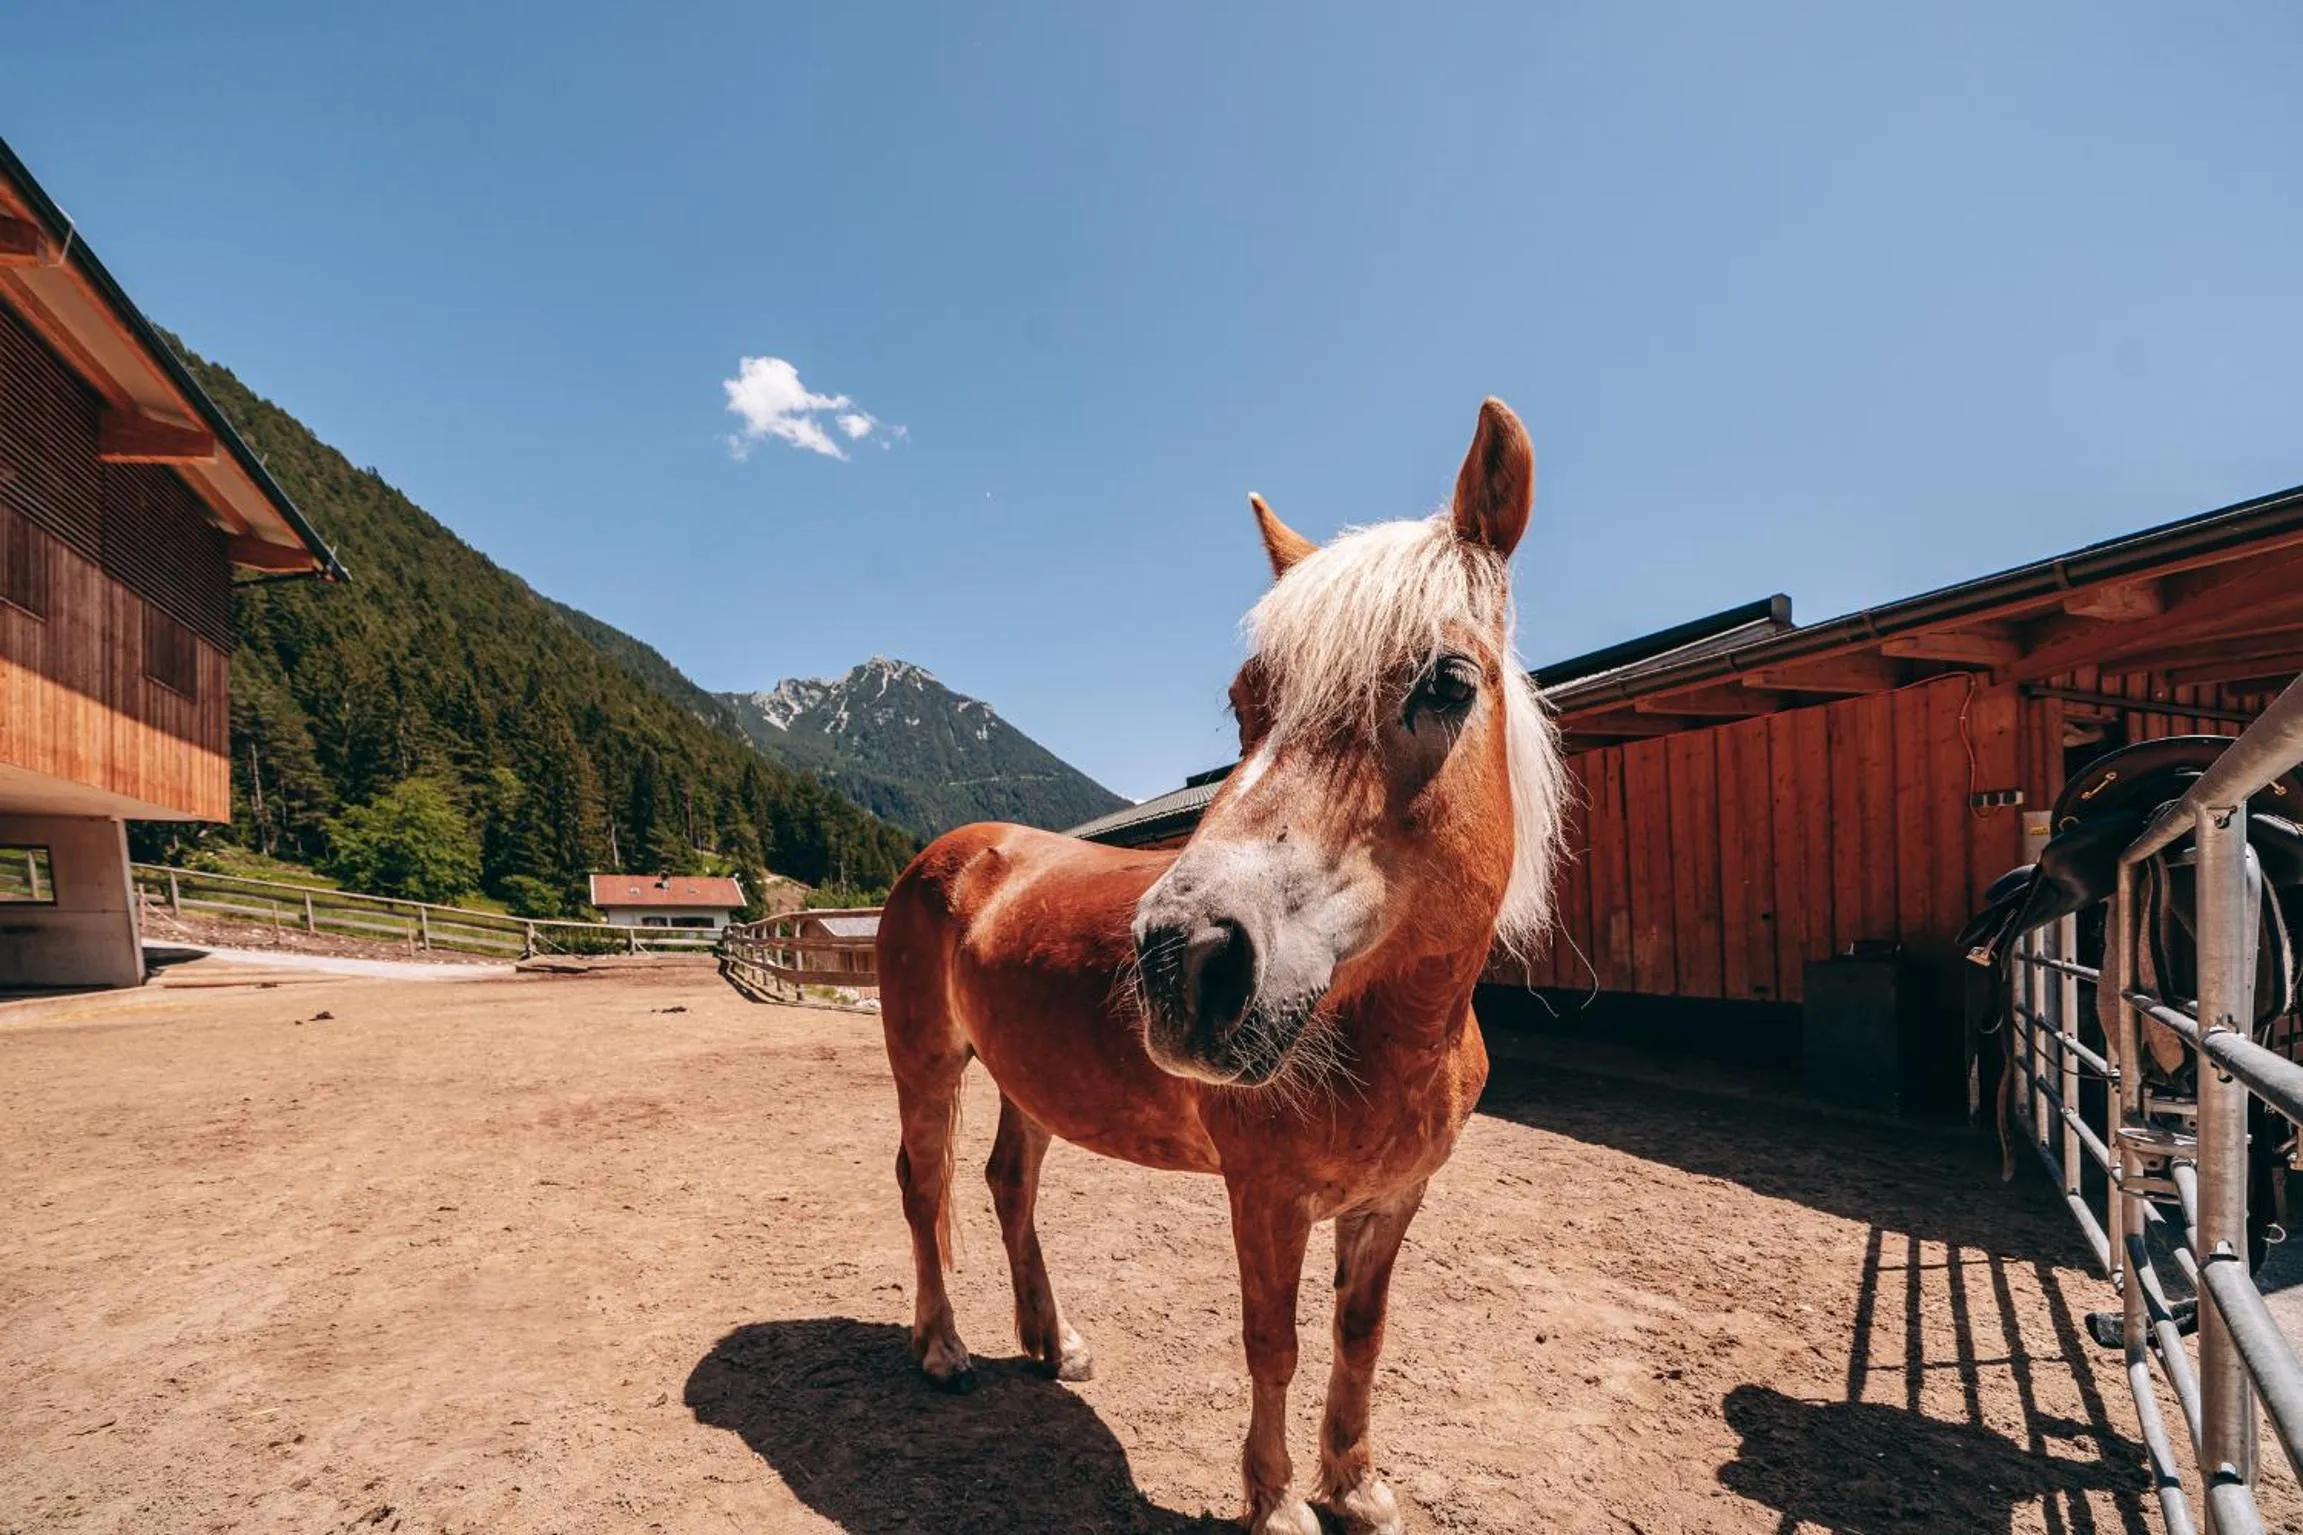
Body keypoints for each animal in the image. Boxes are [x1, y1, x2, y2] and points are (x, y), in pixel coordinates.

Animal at [875, 398, 1566, 1535]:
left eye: (1447, 682)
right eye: (1247, 700)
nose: (1181, 956)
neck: (1392, 1043)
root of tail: (958, 849)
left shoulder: (1393, 1202)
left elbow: (1360, 1337)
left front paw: (1355, 1483)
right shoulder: (1265, 1197)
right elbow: (1271, 1344)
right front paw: (1276, 1500)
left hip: (1027, 1077)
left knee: (1008, 1183)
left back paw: (1052, 1341)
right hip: (926, 1063)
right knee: (922, 1181)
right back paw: (942, 1348)